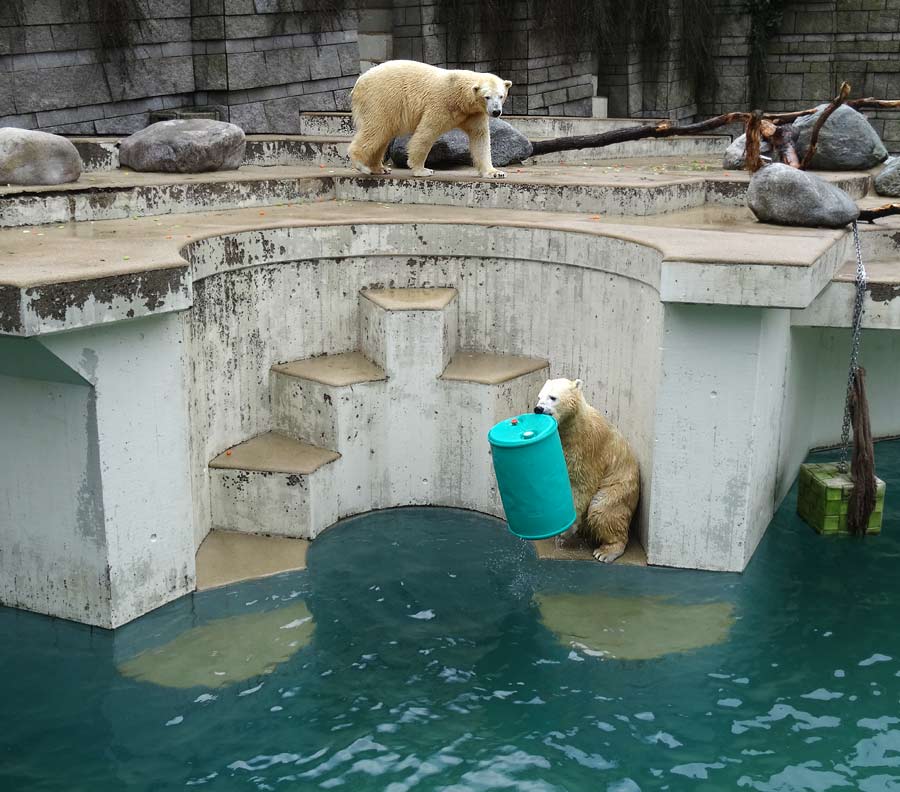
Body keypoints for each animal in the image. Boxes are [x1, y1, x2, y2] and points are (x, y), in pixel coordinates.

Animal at [348, 61, 510, 180]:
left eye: (501, 96)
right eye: (487, 97)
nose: (496, 111)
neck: (460, 97)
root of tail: (359, 82)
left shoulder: (474, 114)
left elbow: (480, 138)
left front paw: (495, 172)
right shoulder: (441, 104)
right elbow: (427, 132)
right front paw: (423, 170)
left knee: (383, 134)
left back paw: (380, 168)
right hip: (381, 98)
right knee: (376, 129)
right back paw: (362, 165)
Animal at [536, 378, 640, 564]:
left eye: (552, 397)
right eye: (539, 396)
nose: (538, 409)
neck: (573, 425)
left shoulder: (587, 448)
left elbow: (582, 485)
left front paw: (566, 530)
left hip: (620, 487)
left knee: (603, 509)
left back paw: (607, 551)